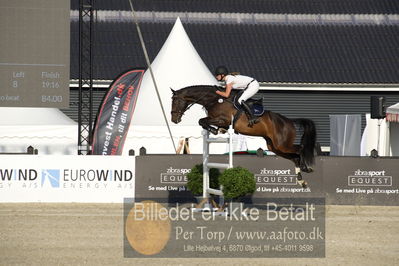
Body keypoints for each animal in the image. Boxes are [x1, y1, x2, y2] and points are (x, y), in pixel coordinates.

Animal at [170, 84, 318, 187]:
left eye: (175, 101)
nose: (174, 120)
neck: (214, 99)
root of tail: (289, 121)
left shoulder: (223, 120)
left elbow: (202, 120)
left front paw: (214, 130)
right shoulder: (218, 120)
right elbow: (202, 121)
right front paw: (217, 130)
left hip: (282, 144)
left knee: (300, 149)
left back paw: (307, 168)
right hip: (274, 147)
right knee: (294, 157)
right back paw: (301, 181)